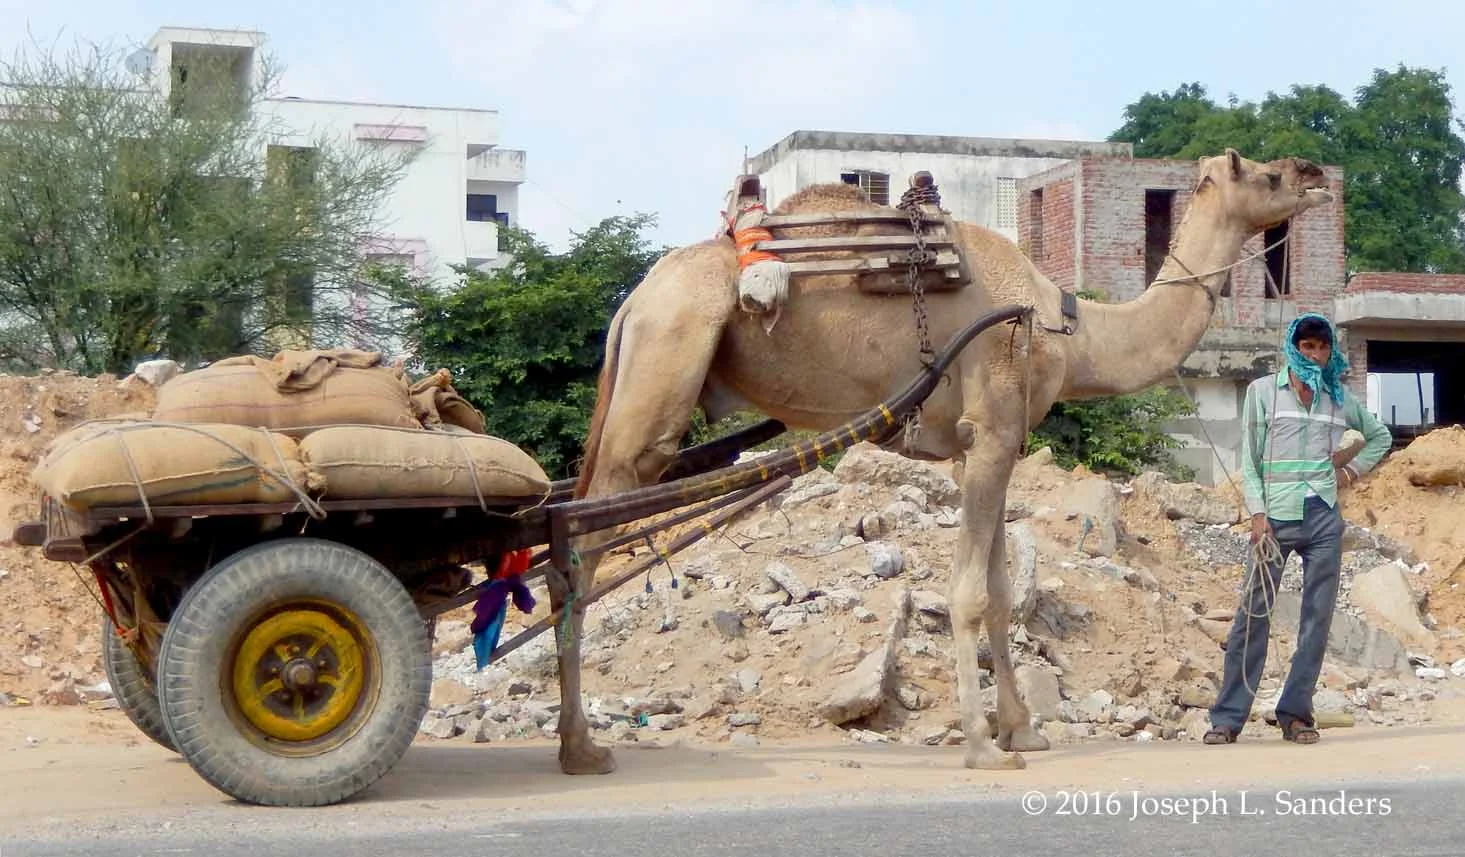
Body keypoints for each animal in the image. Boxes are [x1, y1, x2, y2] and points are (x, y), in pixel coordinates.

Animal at [550, 148, 1333, 774]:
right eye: (1267, 175)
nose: (1315, 175)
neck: (1068, 329)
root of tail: (631, 305)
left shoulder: (980, 445)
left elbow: (1000, 587)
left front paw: (1022, 731)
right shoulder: (992, 426)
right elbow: (969, 593)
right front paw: (984, 747)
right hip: (663, 365)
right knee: (581, 547)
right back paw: (581, 747)